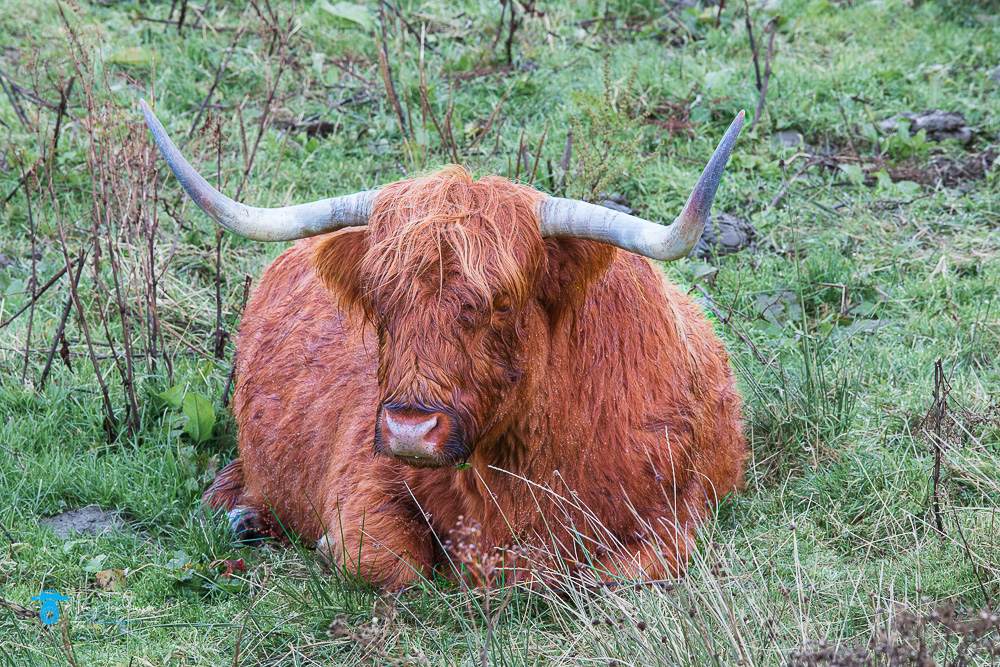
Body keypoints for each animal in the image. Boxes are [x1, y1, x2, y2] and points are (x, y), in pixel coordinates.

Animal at [140, 100, 747, 588]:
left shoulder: (674, 515)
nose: (411, 428)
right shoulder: (362, 480)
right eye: (379, 300)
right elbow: (386, 563)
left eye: (501, 301)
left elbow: (608, 574)